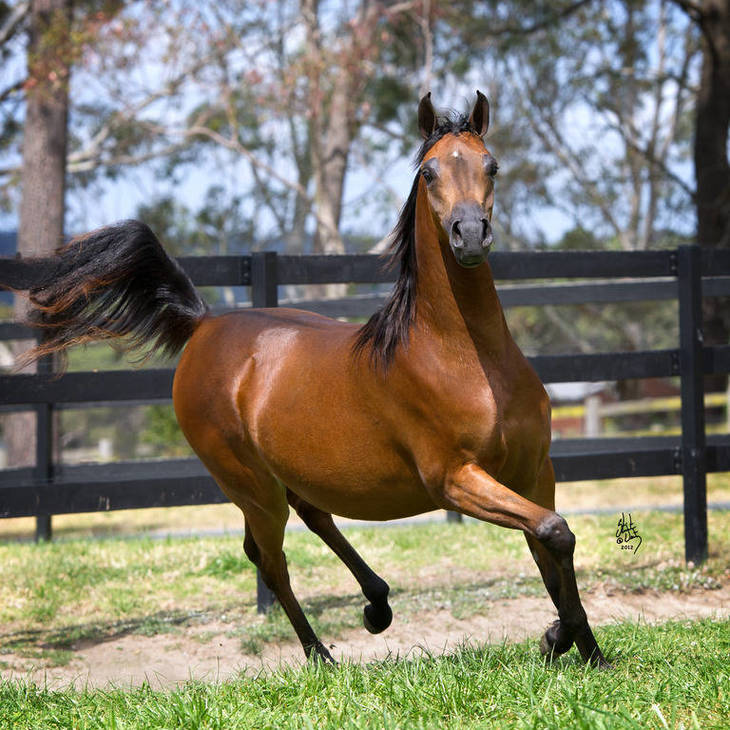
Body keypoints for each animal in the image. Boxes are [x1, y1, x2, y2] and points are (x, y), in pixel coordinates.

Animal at [20, 91, 609, 668]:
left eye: (492, 165)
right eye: (429, 172)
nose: (469, 235)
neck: (464, 357)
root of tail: (206, 324)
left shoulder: (534, 471)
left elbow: (549, 547)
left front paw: (579, 648)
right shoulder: (455, 479)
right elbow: (555, 532)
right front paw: (568, 642)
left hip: (289, 470)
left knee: (313, 515)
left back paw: (377, 603)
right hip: (251, 486)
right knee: (269, 558)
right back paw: (320, 654)